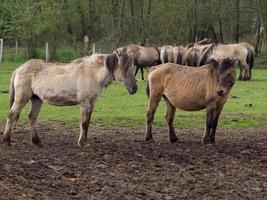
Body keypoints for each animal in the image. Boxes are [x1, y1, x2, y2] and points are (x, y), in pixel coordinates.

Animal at [3, 47, 138, 146]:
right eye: (125, 67)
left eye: (132, 67)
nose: (134, 89)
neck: (92, 73)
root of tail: (19, 69)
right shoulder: (84, 103)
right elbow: (84, 123)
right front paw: (81, 143)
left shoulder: (92, 103)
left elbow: (88, 123)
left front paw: (85, 141)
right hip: (22, 98)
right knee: (12, 115)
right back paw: (6, 140)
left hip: (36, 99)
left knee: (32, 117)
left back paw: (37, 142)